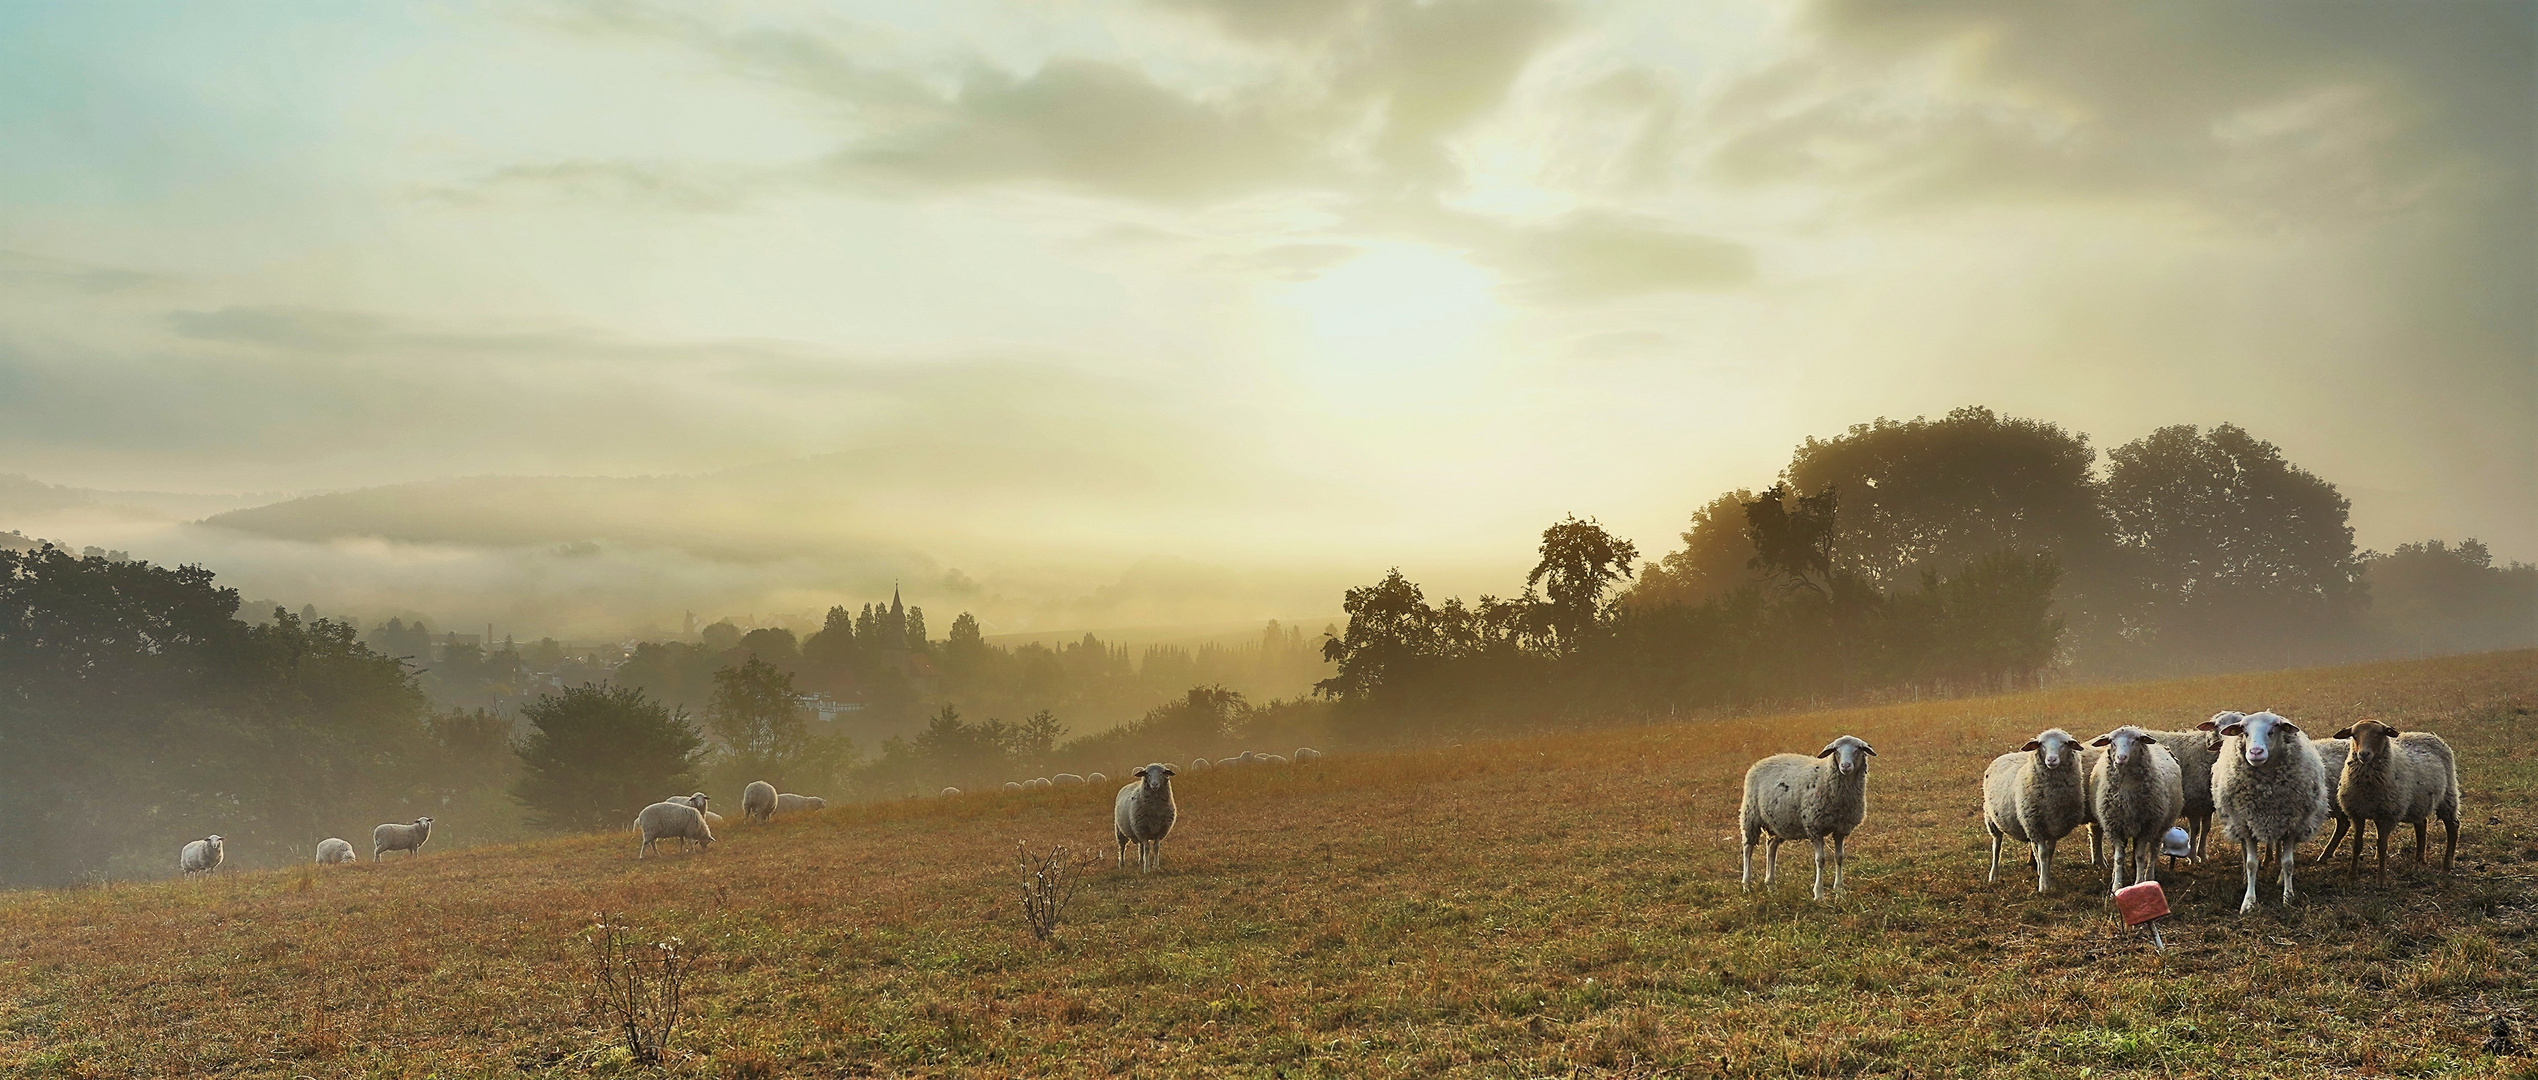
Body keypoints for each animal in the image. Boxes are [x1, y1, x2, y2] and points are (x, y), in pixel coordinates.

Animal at [1735, 735, 1878, 902]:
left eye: (1858, 748)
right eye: (1836, 750)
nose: (1845, 766)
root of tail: (1760, 762)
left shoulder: (1841, 829)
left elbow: (1839, 857)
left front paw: (1839, 891)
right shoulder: (1814, 827)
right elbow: (1820, 860)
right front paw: (1819, 894)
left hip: (1777, 822)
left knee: (1771, 847)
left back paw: (1771, 885)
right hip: (1750, 816)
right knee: (1748, 849)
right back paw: (1746, 885)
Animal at [1969, 725, 2091, 892]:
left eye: (2064, 743)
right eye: (2041, 744)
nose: (2051, 760)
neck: (2052, 799)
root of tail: (2006, 754)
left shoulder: (2054, 827)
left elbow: (2049, 853)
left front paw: (2045, 875)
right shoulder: (2035, 825)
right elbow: (2043, 853)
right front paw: (2043, 886)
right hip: (1991, 819)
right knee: (1996, 846)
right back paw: (1993, 875)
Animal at [2081, 725, 2182, 892]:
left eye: (2136, 740)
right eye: (2112, 741)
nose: (2121, 758)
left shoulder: (2146, 826)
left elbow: (2140, 856)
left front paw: (2139, 882)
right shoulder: (2114, 827)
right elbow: (2118, 857)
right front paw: (2116, 885)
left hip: (2160, 824)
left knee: (2153, 851)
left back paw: (2149, 875)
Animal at [2213, 714, 2324, 917]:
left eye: (2273, 730)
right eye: (2245, 732)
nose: (2255, 752)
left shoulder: (2292, 824)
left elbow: (2288, 863)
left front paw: (2288, 897)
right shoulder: (2246, 824)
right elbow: (2251, 864)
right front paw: (2248, 902)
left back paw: (2280, 878)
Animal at [2324, 714, 2466, 877]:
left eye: (2379, 734)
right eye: (2354, 735)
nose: (2363, 754)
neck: (2368, 788)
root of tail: (2428, 734)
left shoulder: (2387, 814)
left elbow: (2382, 846)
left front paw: (2381, 877)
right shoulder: (2357, 813)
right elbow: (2357, 844)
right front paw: (2352, 875)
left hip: (2448, 795)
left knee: (2453, 826)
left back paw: (2446, 866)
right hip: (2418, 801)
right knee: (2421, 824)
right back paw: (2419, 860)